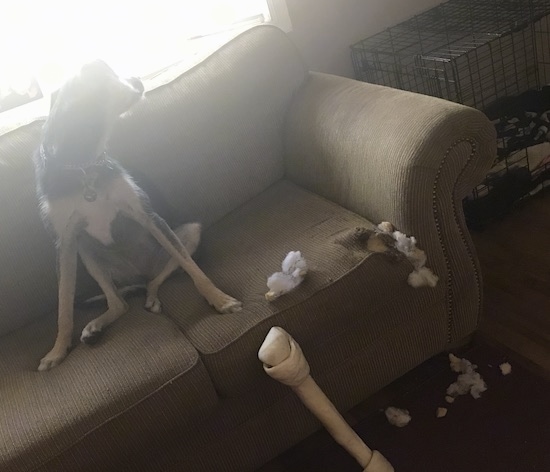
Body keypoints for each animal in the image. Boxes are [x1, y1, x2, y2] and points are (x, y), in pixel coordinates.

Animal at [34, 59, 242, 370]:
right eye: (108, 76)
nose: (138, 79)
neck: (83, 164)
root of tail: (137, 277)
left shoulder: (145, 214)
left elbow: (194, 269)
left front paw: (220, 299)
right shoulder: (66, 242)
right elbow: (63, 306)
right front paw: (57, 351)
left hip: (188, 232)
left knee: (158, 279)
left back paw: (150, 298)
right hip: (88, 252)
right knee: (119, 303)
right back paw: (96, 325)